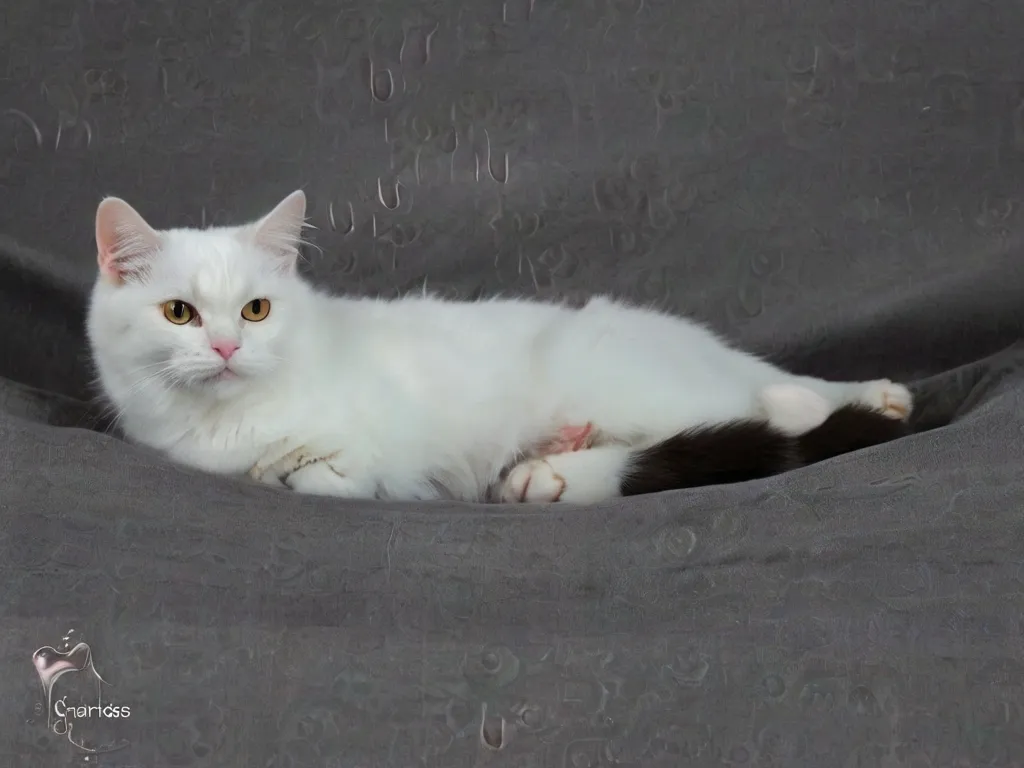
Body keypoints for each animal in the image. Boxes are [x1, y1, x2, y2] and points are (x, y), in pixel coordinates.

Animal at [88, 191, 913, 505]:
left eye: (256, 310)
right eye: (180, 313)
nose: (228, 347)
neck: (226, 425)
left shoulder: (370, 452)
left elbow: (320, 477)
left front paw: (287, 469)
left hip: (621, 379)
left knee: (769, 410)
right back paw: (548, 467)